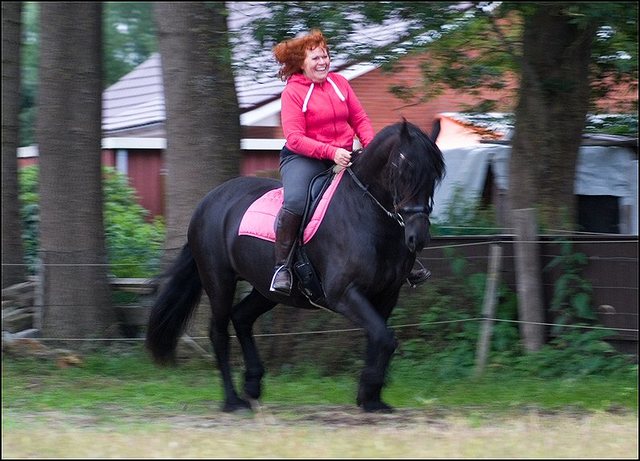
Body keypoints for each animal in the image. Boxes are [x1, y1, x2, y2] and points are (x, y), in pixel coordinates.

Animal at [145, 120, 444, 412]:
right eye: (402, 170)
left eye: (434, 175)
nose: (418, 237)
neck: (366, 215)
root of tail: (208, 202)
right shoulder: (343, 293)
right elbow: (383, 337)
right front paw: (369, 392)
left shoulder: (386, 295)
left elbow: (379, 338)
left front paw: (372, 399)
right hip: (219, 281)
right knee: (219, 333)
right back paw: (233, 401)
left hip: (266, 289)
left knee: (241, 318)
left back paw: (252, 385)